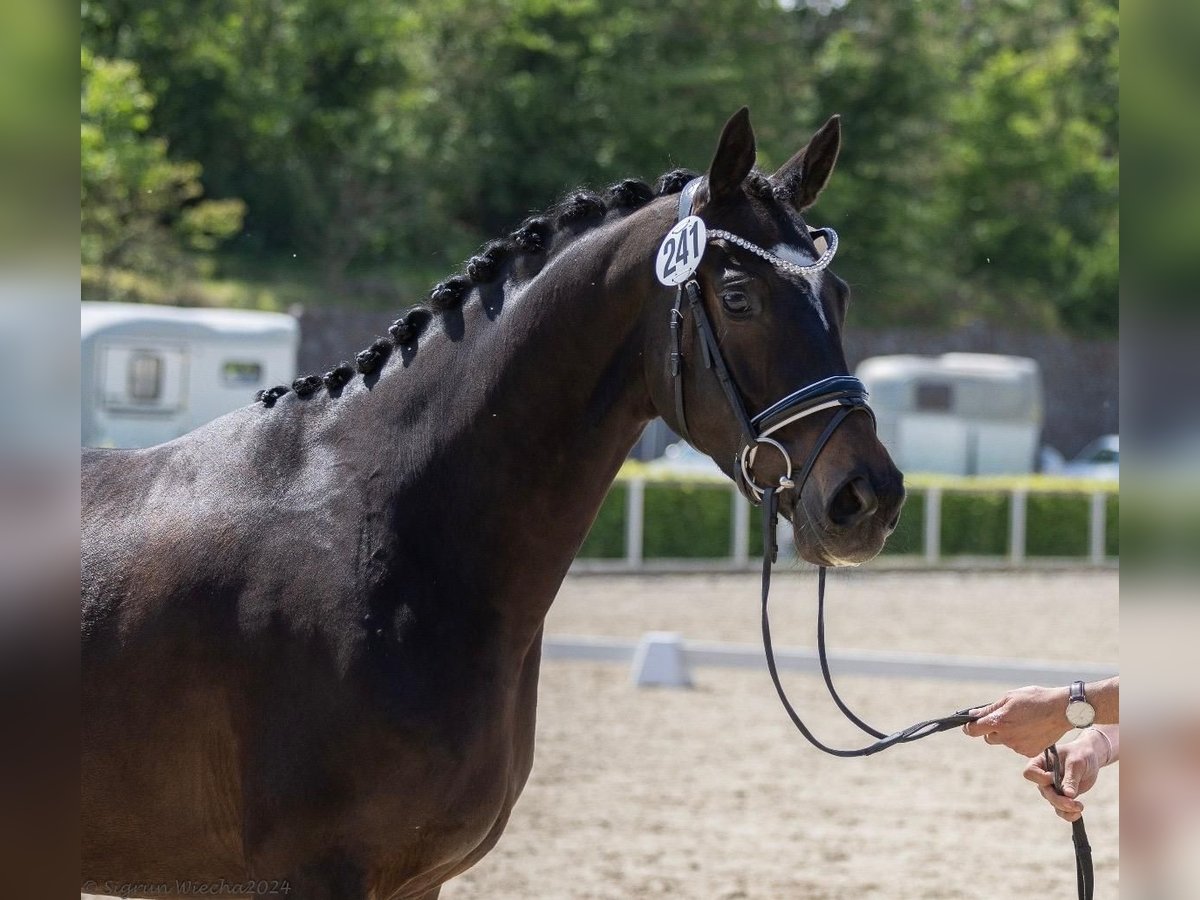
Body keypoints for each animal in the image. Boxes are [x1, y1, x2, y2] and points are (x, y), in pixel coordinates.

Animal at [82, 112, 902, 900]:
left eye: (840, 296)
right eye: (738, 298)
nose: (868, 498)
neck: (386, 535)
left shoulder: (418, 880)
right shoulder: (309, 876)